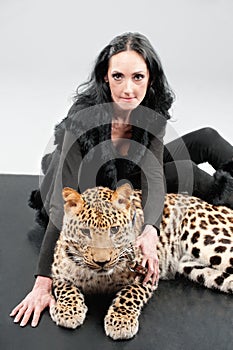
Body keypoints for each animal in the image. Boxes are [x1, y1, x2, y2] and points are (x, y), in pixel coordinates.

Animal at [50, 183, 233, 340]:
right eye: (85, 231)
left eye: (114, 229)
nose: (102, 262)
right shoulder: (58, 272)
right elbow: (66, 288)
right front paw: (69, 311)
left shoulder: (148, 273)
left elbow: (129, 294)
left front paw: (120, 322)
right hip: (197, 268)